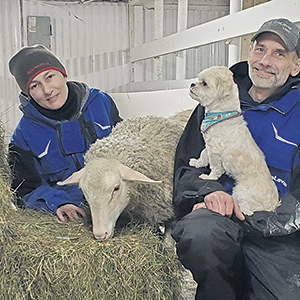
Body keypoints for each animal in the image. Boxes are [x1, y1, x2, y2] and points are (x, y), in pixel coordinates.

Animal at [190, 66, 278, 216]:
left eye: (204, 83)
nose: (191, 84)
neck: (221, 115)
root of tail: (272, 206)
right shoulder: (210, 145)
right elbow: (203, 154)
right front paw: (197, 162)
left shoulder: (215, 152)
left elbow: (215, 169)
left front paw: (209, 177)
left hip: (240, 192)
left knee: (245, 209)